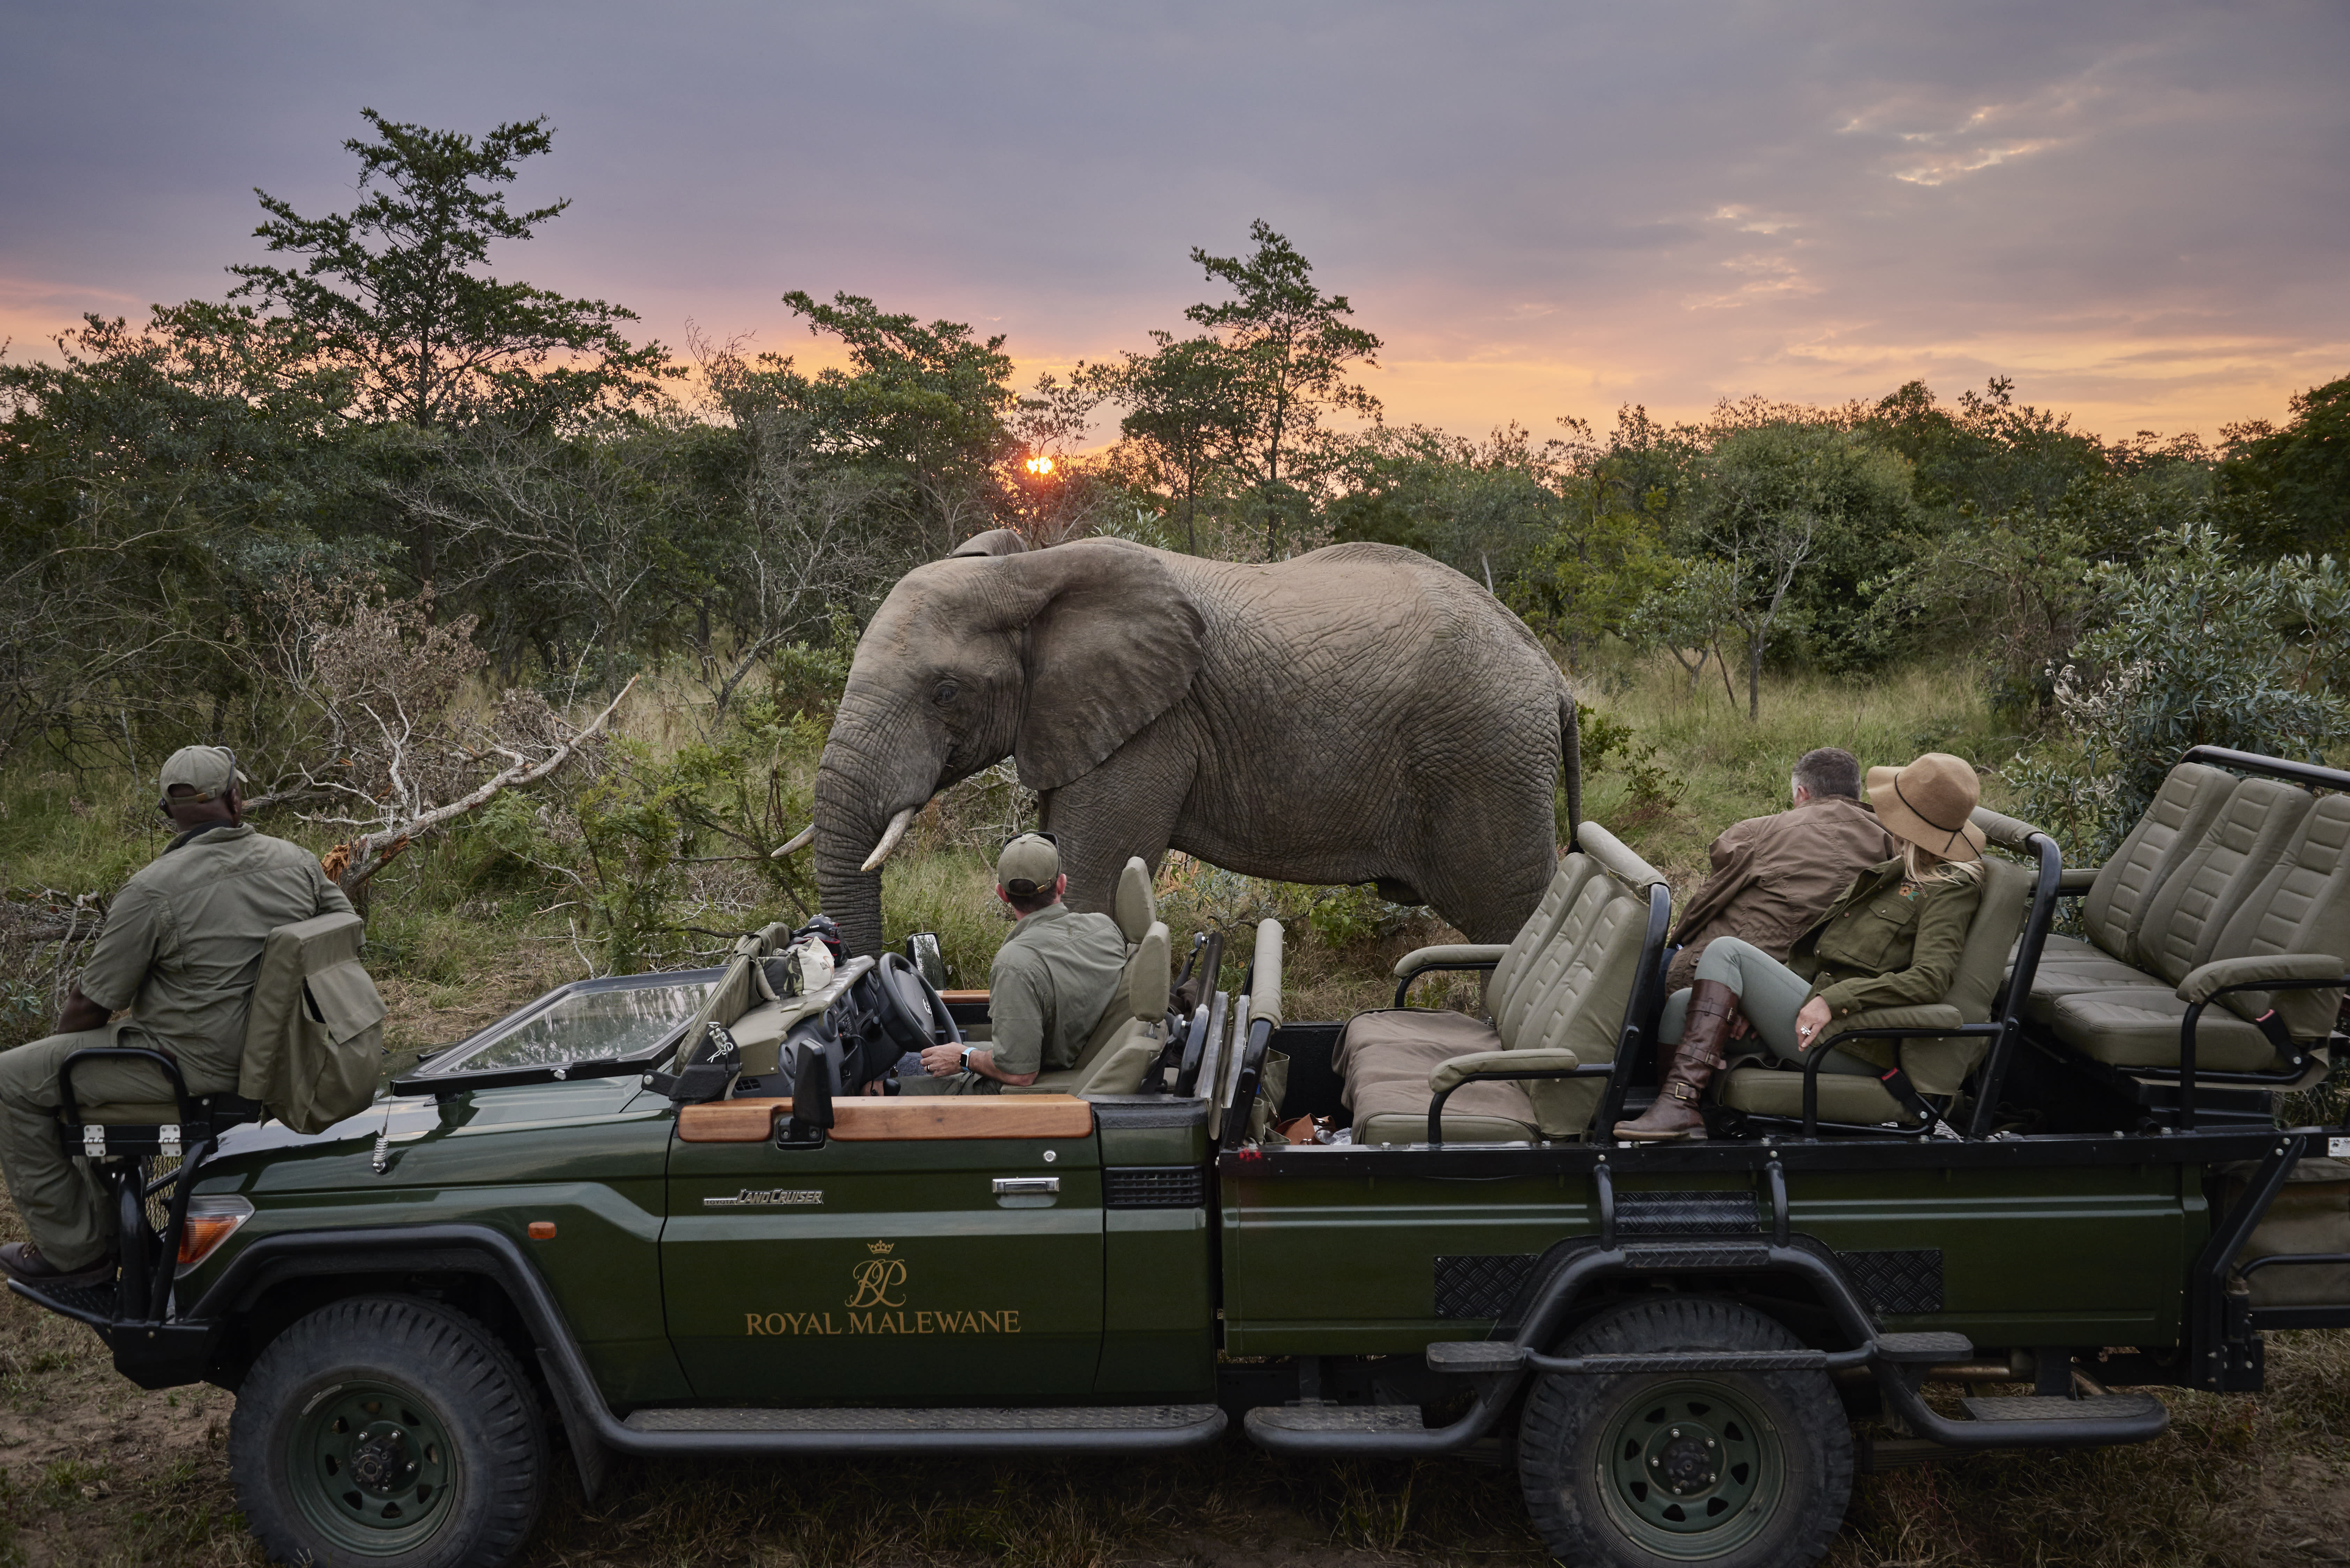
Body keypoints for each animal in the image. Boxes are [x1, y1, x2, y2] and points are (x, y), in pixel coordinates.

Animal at [802, 529, 1582, 957]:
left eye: (945, 693)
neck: (1029, 571)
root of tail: (1552, 673)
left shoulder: (1154, 726)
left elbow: (1089, 880)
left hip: (1487, 758)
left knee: (1513, 914)